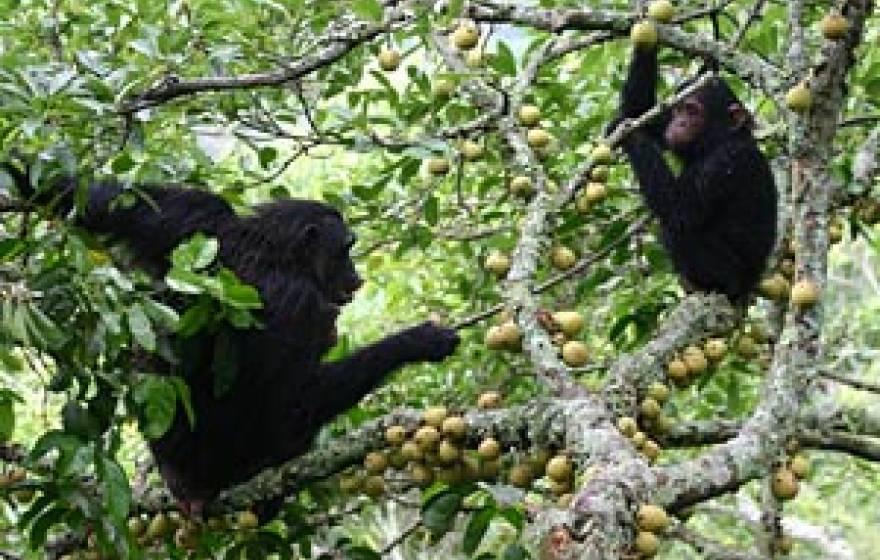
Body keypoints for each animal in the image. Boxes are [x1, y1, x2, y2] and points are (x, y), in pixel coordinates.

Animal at [3, 161, 460, 512]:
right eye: (346, 248)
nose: (356, 276)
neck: (275, 254)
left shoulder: (197, 216)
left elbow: (107, 200)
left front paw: (18, 169)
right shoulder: (300, 304)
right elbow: (294, 401)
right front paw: (419, 341)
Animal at [612, 42, 776, 302]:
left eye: (692, 111)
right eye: (678, 110)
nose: (678, 123)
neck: (716, 142)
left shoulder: (724, 163)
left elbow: (678, 209)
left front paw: (629, 132)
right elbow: (641, 112)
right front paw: (648, 37)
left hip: (726, 271)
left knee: (676, 229)